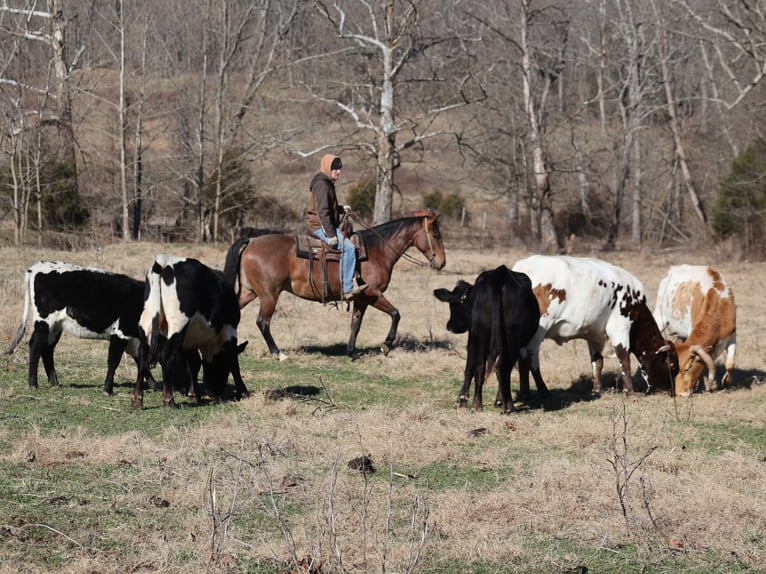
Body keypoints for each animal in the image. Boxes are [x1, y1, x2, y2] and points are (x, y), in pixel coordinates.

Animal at [223, 211, 446, 359]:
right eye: (436, 235)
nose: (442, 263)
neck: (377, 251)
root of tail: (251, 241)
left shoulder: (361, 298)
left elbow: (356, 324)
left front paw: (351, 352)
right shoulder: (374, 294)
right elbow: (395, 314)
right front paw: (386, 345)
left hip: (249, 292)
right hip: (269, 295)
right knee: (263, 322)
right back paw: (279, 354)